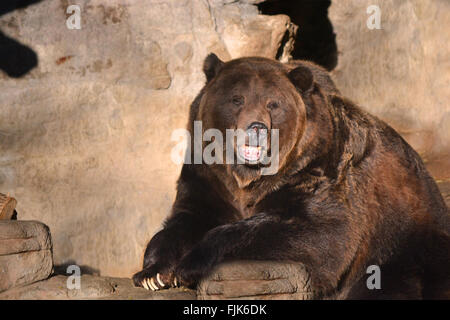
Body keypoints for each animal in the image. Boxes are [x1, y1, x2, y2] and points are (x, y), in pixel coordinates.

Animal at [132, 53, 448, 298]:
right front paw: (152, 273)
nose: (256, 127)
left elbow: (320, 234)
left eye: (273, 103)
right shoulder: (208, 175)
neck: (247, 178)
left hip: (406, 241)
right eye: (237, 99)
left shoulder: (318, 175)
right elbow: (185, 219)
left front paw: (191, 263)